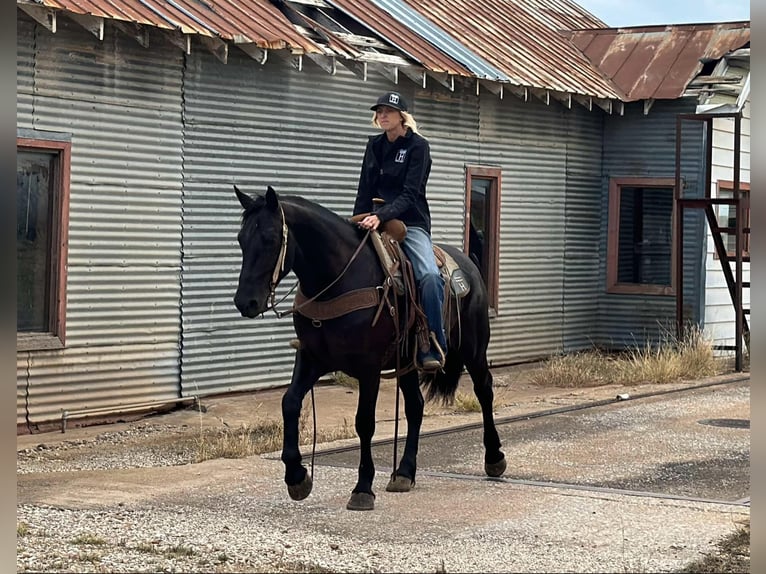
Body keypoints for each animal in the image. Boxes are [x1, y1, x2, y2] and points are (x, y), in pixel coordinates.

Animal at [233, 185, 506, 511]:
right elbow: (290, 403)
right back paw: (405, 472)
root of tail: (469, 264)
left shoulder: (368, 367)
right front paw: (297, 477)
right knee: (415, 406)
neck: (336, 278)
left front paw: (363, 487)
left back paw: (495, 458)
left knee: (484, 391)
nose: (245, 302)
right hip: (409, 361)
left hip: (474, 350)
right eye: (241, 239)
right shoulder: (312, 358)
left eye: (271, 238)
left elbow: (364, 422)